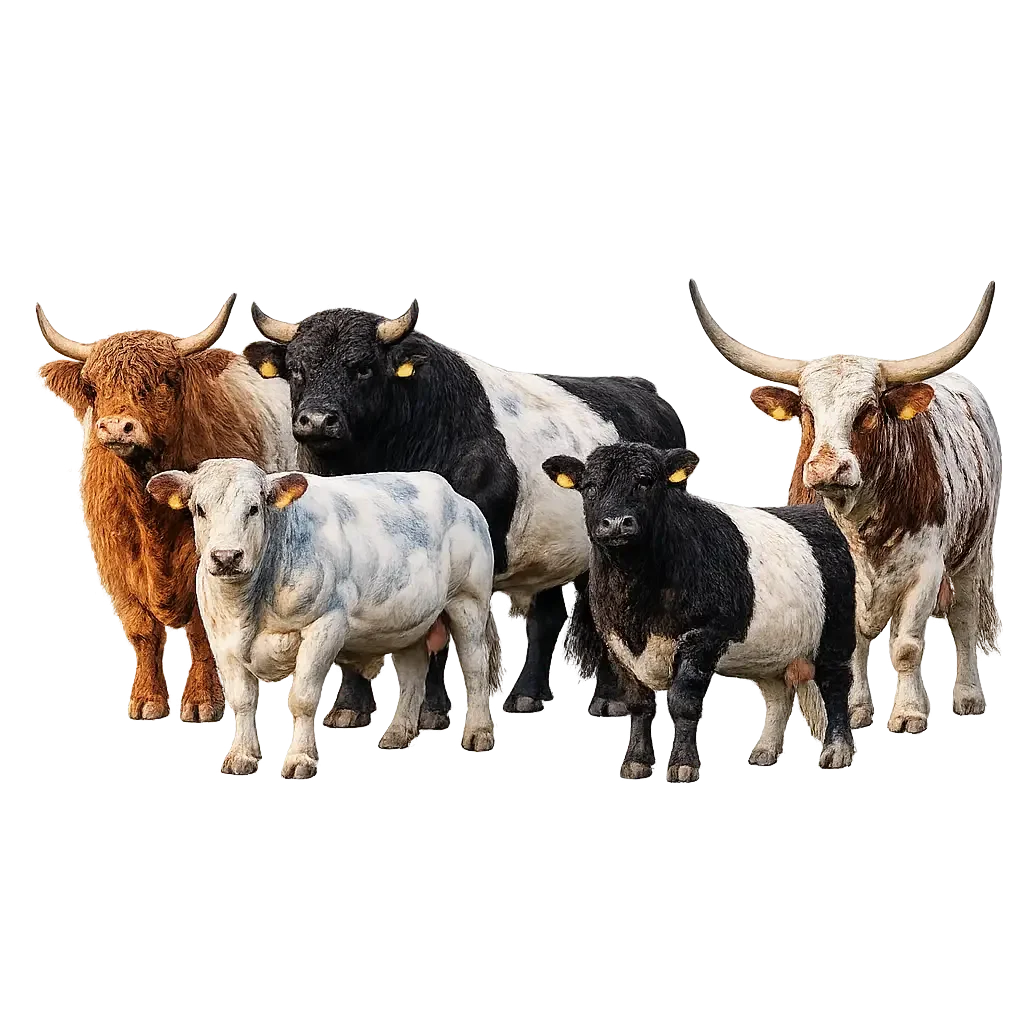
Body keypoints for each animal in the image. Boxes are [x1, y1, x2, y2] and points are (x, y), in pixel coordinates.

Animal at [35, 295, 296, 723]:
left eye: (164, 379)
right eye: (92, 387)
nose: (116, 426)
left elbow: (200, 629)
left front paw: (202, 702)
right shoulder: (115, 560)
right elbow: (142, 628)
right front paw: (145, 700)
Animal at [147, 459, 503, 778]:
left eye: (254, 508)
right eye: (199, 509)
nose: (226, 557)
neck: (249, 608)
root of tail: (460, 500)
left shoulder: (324, 626)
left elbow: (303, 699)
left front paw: (300, 759)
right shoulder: (222, 641)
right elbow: (242, 700)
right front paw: (240, 756)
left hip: (468, 602)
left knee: (475, 666)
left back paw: (478, 733)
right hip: (409, 620)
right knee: (413, 672)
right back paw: (398, 734)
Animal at [244, 300, 690, 731]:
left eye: (362, 367)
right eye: (297, 369)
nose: (317, 420)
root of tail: (643, 390)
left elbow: (440, 635)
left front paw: (432, 711)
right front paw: (349, 708)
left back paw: (610, 700)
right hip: (548, 555)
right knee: (547, 617)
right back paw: (527, 695)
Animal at [543, 442, 857, 781]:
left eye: (646, 481)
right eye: (589, 487)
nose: (615, 522)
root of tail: (818, 515)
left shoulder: (703, 635)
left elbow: (683, 702)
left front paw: (683, 764)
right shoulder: (616, 643)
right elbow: (638, 703)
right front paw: (636, 762)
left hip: (836, 632)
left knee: (836, 683)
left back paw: (837, 751)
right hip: (770, 649)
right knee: (777, 693)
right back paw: (764, 752)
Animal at [688, 278, 1001, 734]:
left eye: (868, 410)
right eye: (806, 410)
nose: (825, 468)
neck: (860, 526)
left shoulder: (926, 571)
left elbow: (907, 646)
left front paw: (910, 713)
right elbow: (851, 644)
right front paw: (855, 710)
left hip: (971, 556)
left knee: (962, 618)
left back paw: (967, 696)